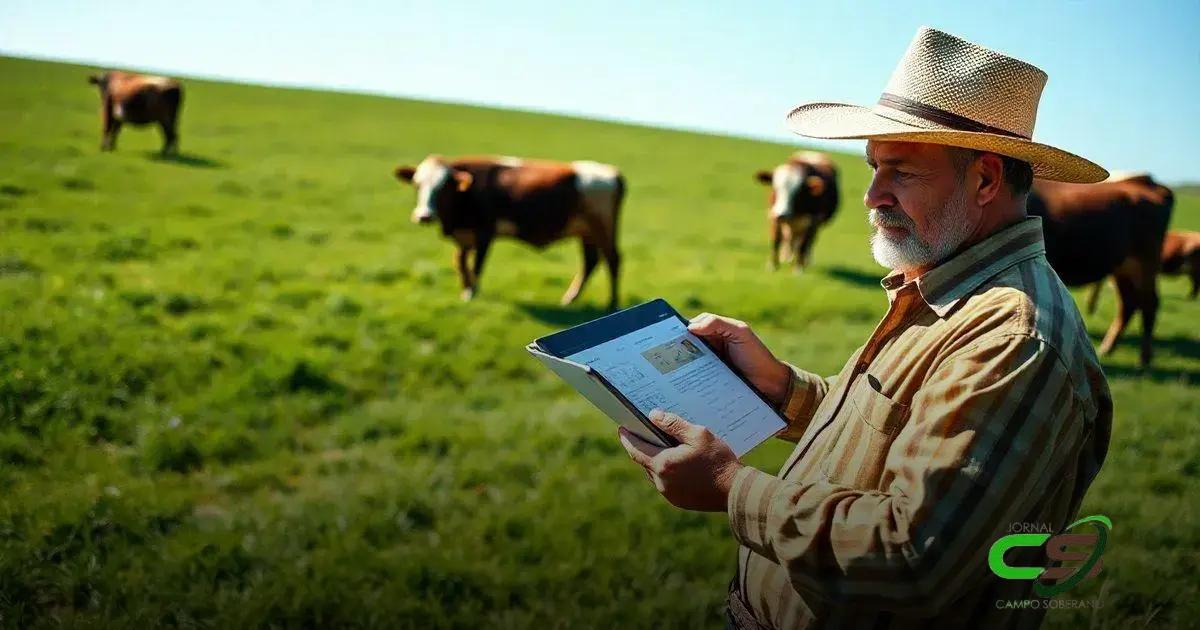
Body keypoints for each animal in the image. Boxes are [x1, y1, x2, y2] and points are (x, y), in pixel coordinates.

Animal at [393, 153, 628, 307]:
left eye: (443, 188)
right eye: (417, 185)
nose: (424, 215)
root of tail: (612, 173)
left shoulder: (485, 233)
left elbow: (477, 266)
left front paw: (472, 293)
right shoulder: (465, 235)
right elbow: (460, 262)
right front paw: (465, 289)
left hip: (602, 227)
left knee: (613, 259)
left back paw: (612, 303)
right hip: (585, 231)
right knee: (591, 262)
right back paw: (570, 299)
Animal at [1027, 172, 1176, 369]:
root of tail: (1145, 183)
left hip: (1146, 261)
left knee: (1149, 303)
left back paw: (1144, 358)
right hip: (1123, 267)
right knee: (1129, 303)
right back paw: (1108, 348)